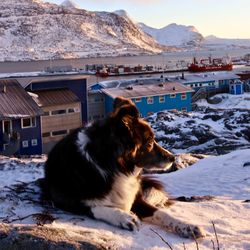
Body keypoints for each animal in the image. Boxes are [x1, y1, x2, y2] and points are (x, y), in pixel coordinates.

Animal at [44, 96, 205, 238]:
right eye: (149, 142)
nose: (172, 158)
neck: (110, 166)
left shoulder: (136, 199)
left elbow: (161, 214)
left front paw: (187, 227)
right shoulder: (64, 199)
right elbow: (96, 207)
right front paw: (124, 217)